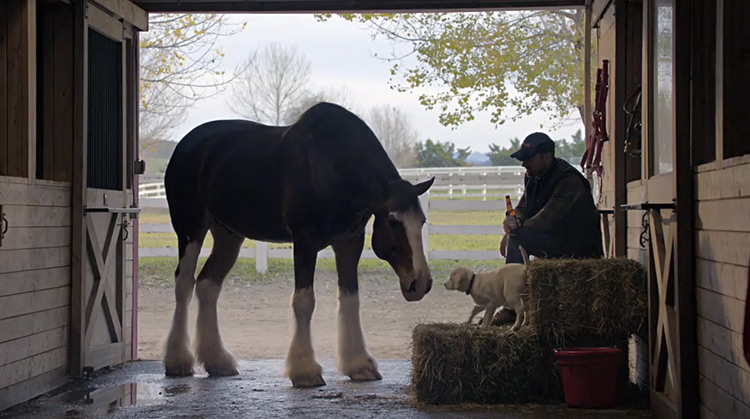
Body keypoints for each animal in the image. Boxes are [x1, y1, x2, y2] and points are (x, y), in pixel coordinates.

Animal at [162, 101, 438, 388]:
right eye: (394, 222)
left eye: (422, 221)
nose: (421, 283)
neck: (333, 166)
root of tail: (187, 145)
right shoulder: (305, 242)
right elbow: (304, 301)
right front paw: (305, 370)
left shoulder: (350, 243)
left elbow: (350, 299)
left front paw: (359, 365)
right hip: (190, 229)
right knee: (184, 284)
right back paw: (178, 360)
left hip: (229, 236)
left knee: (207, 285)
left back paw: (217, 361)